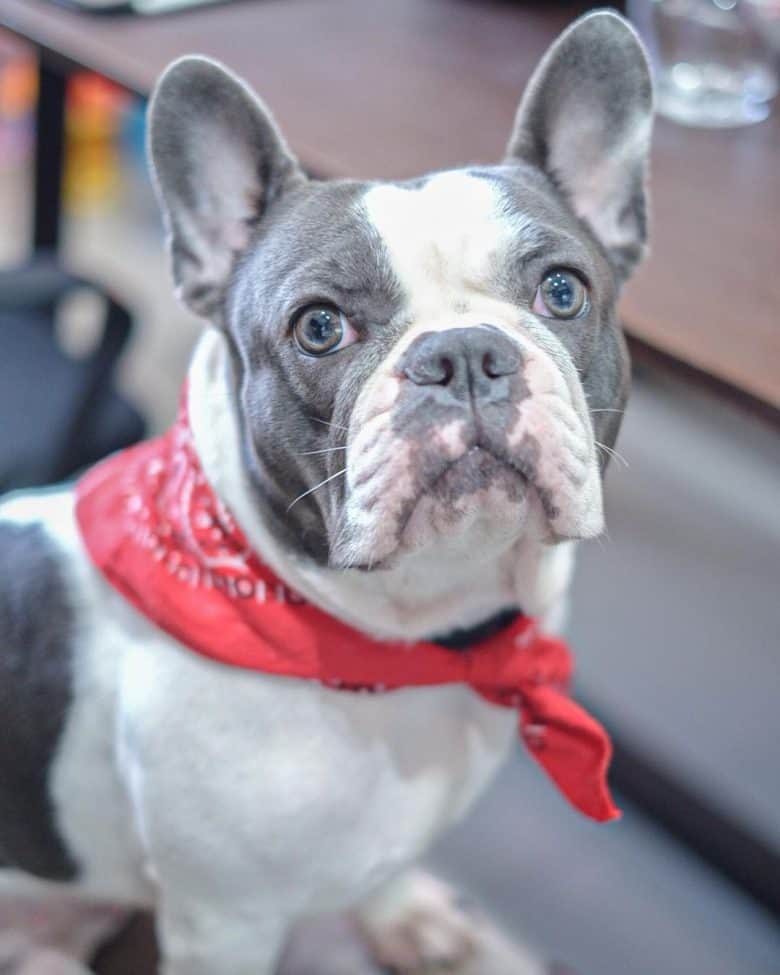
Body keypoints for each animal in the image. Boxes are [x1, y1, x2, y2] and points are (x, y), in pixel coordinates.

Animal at [0, 9, 652, 975]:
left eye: (563, 290)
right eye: (319, 327)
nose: (464, 352)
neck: (417, 644)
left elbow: (383, 866)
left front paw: (401, 910)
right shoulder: (224, 923)